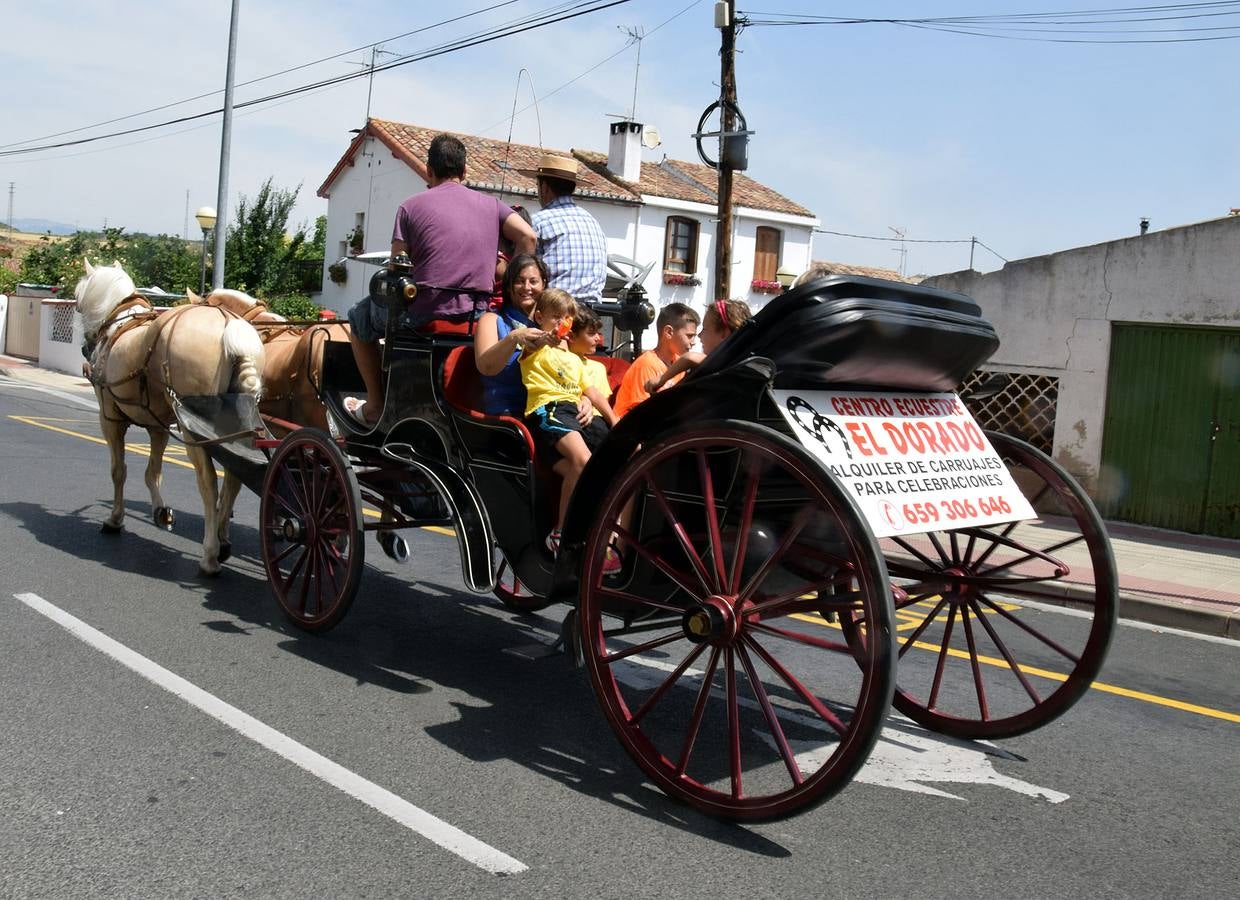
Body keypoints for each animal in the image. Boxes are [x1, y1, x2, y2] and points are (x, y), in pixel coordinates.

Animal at [75, 260, 266, 575]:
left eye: (77, 302)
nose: (85, 347)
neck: (120, 325)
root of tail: (230, 325)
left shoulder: (110, 419)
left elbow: (119, 471)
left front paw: (115, 519)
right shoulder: (158, 426)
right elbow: (153, 471)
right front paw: (160, 512)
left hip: (194, 431)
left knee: (209, 483)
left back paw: (210, 555)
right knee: (233, 477)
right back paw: (223, 542)